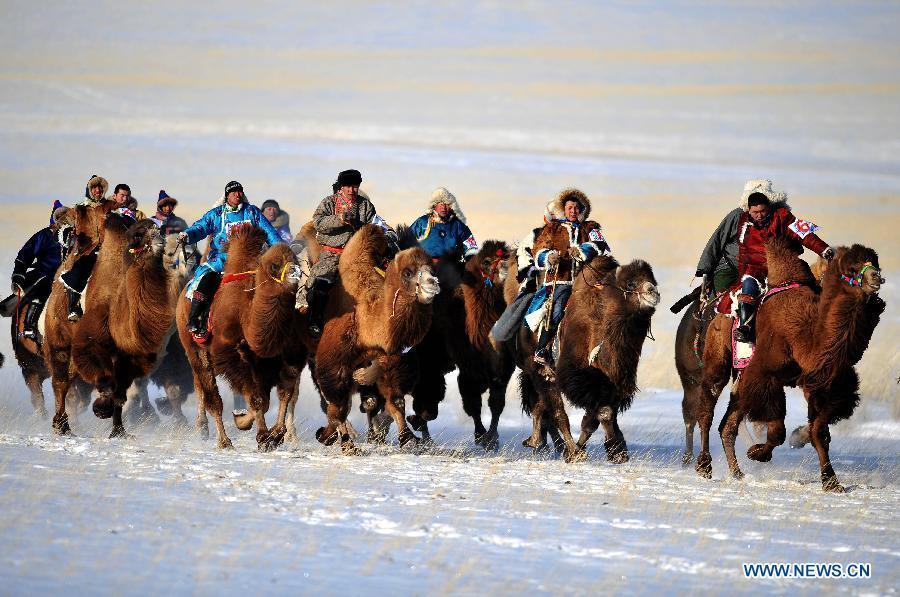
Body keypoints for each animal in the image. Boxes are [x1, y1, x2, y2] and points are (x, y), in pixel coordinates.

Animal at [177, 226, 306, 450]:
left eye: (296, 260)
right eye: (274, 266)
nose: (295, 272)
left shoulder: (277, 360)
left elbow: (280, 396)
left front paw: (273, 434)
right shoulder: (235, 357)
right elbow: (257, 399)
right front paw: (262, 436)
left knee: (201, 387)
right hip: (195, 349)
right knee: (210, 394)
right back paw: (222, 440)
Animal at [314, 224, 442, 452]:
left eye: (432, 270)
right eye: (408, 272)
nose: (432, 284)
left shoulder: (392, 361)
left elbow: (396, 401)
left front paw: (407, 438)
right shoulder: (333, 362)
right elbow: (338, 406)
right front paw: (347, 445)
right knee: (335, 404)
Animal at [716, 240, 884, 492]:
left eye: (874, 262)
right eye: (852, 269)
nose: (877, 277)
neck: (807, 337)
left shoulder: (823, 384)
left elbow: (819, 432)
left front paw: (832, 482)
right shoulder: (766, 375)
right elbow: (777, 431)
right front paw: (757, 453)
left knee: (728, 425)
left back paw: (736, 473)